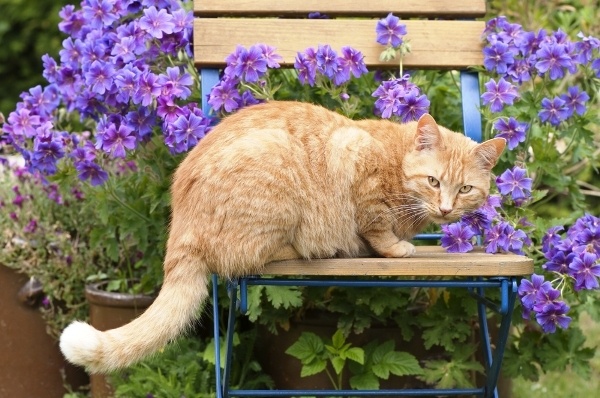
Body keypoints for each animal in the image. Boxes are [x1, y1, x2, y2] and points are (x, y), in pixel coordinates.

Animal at [59, 100, 502, 374]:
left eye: (465, 190)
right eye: (433, 181)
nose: (445, 209)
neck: (395, 157)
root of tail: (180, 226)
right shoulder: (358, 166)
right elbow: (377, 226)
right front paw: (395, 247)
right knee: (252, 254)